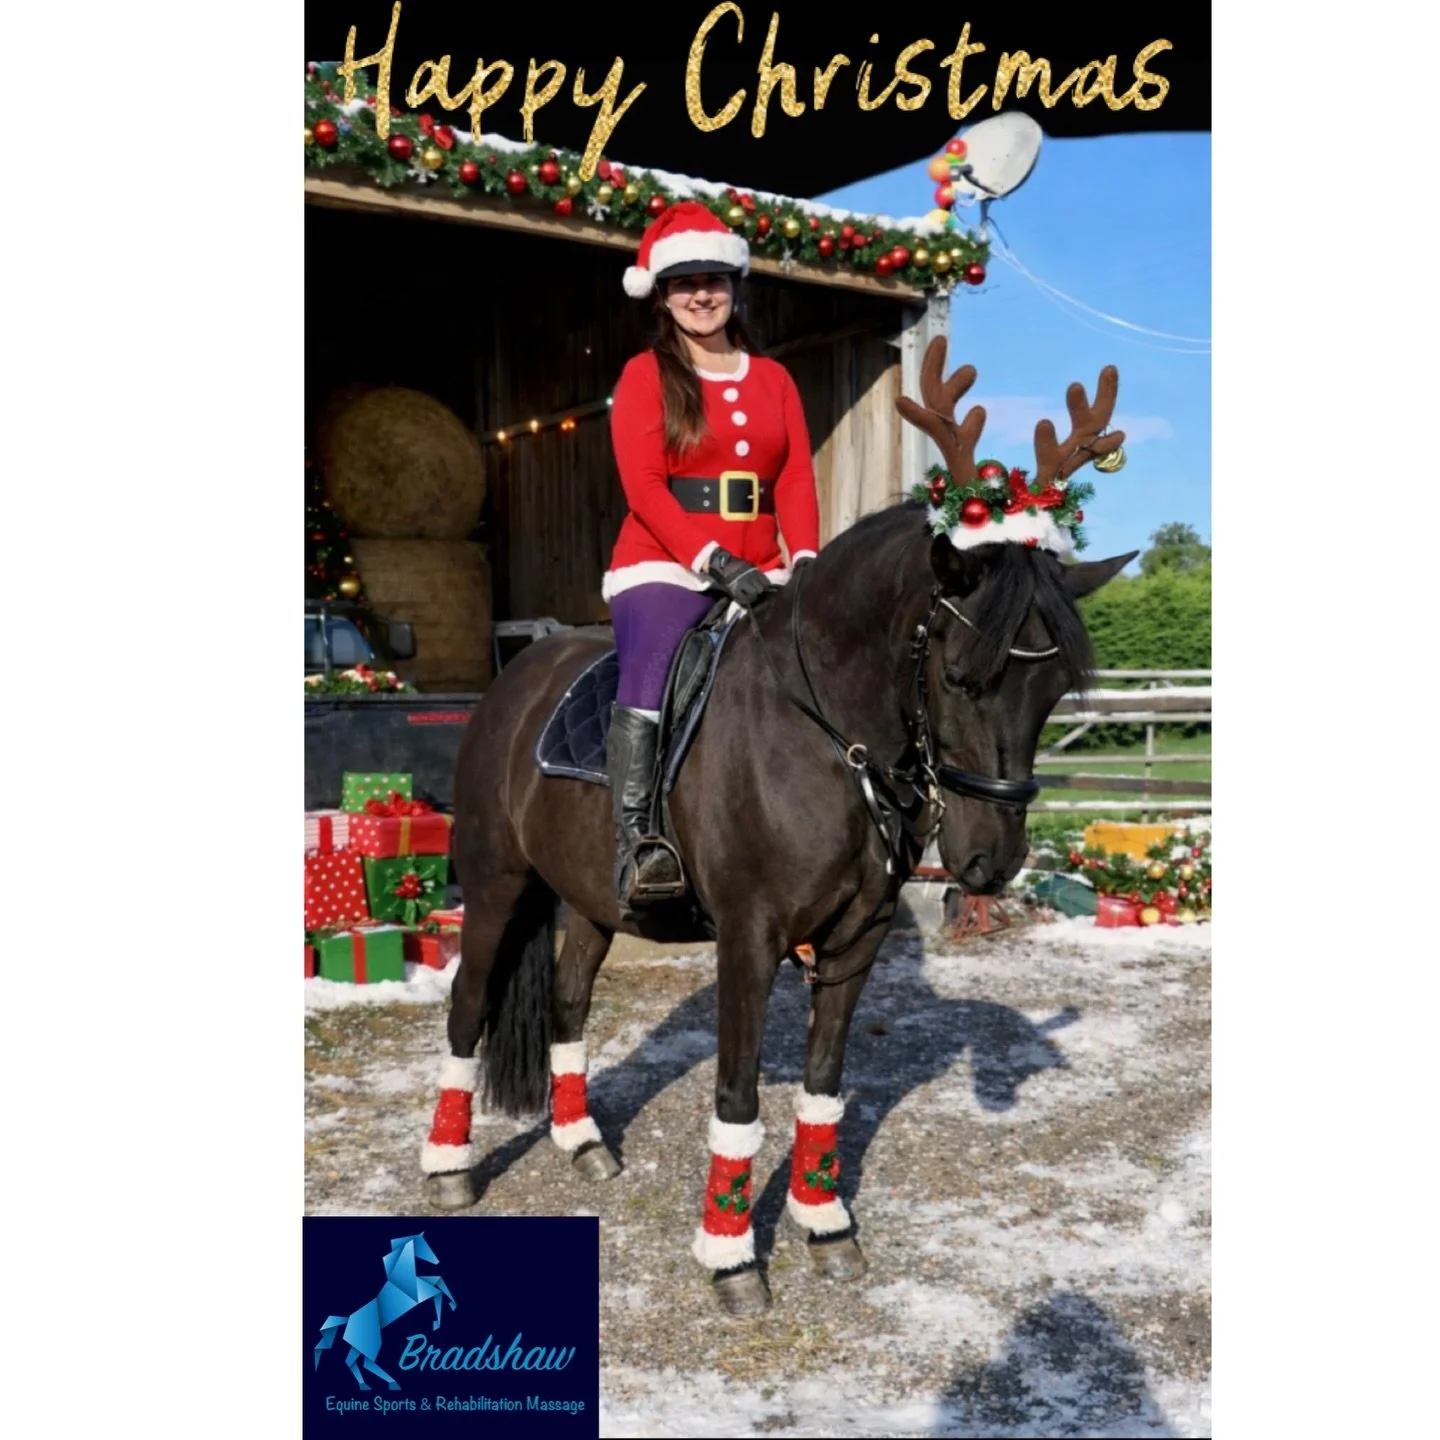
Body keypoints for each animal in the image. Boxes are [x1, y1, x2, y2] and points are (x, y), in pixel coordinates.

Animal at [313, 1232, 456, 1390]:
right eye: (425, 1245)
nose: (437, 1261)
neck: (400, 1280)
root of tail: (348, 1320)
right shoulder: (420, 1295)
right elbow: (438, 1291)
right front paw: (438, 1321)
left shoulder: (424, 1286)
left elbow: (439, 1282)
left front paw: (444, 1314)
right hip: (370, 1344)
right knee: (366, 1363)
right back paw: (391, 1384)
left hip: (357, 1346)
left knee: (352, 1362)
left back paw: (367, 1386)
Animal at [418, 337, 1135, 1317]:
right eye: (960, 675)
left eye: (1056, 683)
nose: (990, 863)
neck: (830, 734)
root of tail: (515, 680)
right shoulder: (749, 938)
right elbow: (737, 1095)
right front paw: (730, 1260)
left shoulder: (857, 937)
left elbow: (824, 1084)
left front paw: (825, 1226)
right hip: (494, 884)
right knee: (466, 1006)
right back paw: (448, 1166)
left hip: (593, 901)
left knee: (567, 999)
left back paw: (582, 1142)